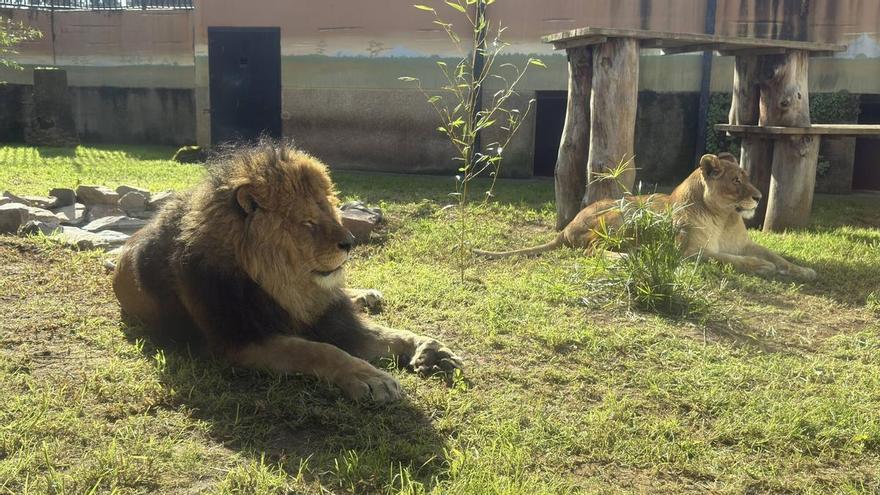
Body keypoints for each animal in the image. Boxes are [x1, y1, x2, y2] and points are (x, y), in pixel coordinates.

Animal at [113, 141, 462, 403]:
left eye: (332, 211)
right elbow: (318, 350)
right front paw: (371, 378)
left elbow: (390, 333)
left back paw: (366, 295)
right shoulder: (240, 341)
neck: (287, 286)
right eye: (308, 222)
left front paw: (431, 351)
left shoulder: (331, 318)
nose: (349, 242)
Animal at [474, 153, 816, 280]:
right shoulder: (688, 252)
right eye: (735, 180)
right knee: (591, 250)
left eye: (745, 177)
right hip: (623, 214)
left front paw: (802, 270)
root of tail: (567, 226)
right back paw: (625, 258)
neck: (724, 217)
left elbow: (775, 253)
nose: (758, 197)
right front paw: (761, 266)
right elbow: (727, 259)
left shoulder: (744, 243)